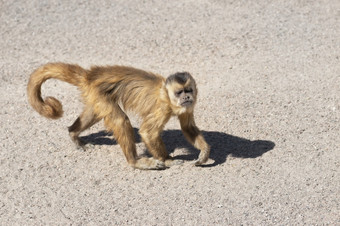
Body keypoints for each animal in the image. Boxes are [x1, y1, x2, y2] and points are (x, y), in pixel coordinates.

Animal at [27, 62, 210, 169]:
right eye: (179, 92)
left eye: (189, 90)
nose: (186, 98)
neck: (166, 94)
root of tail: (90, 74)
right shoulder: (162, 107)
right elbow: (147, 132)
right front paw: (167, 160)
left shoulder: (188, 107)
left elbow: (187, 127)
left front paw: (204, 152)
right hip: (99, 92)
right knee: (121, 120)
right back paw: (135, 162)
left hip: (95, 95)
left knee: (95, 112)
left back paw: (73, 133)